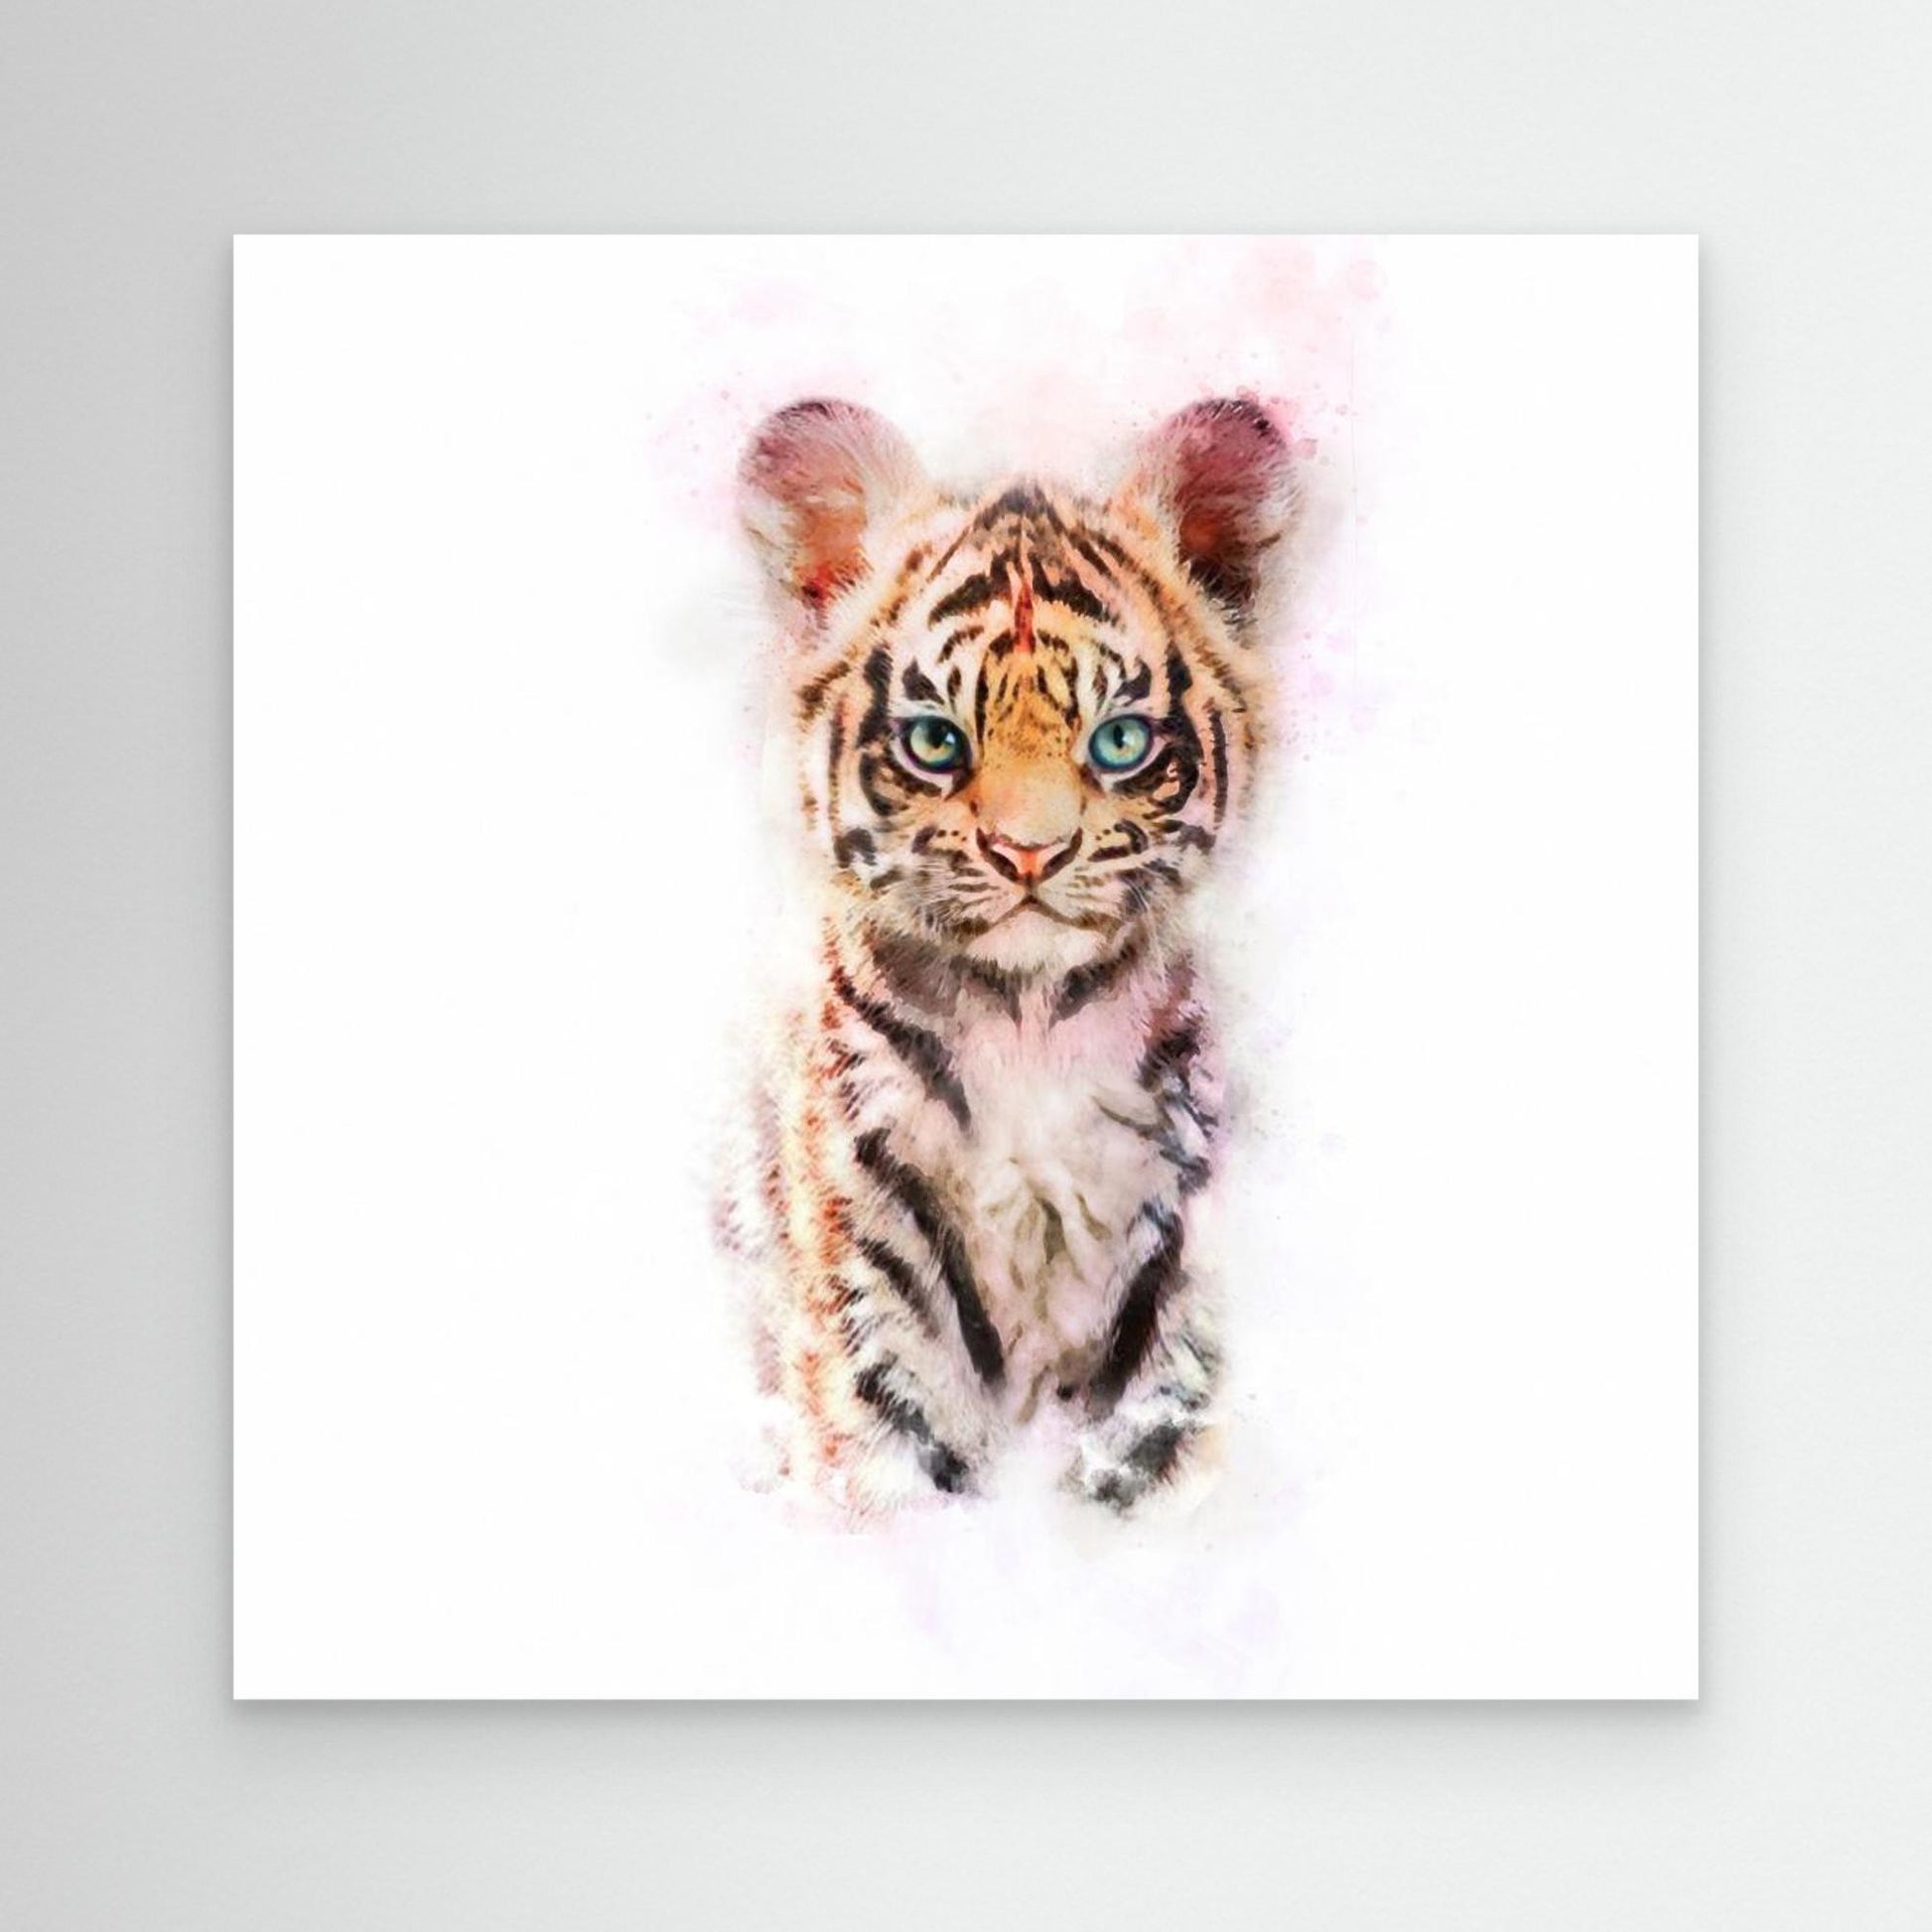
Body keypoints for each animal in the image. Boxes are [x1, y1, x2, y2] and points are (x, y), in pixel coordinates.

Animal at [720, 394, 1297, 1517]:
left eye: (1118, 742)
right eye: (936, 742)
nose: (1029, 850)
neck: (1029, 1029)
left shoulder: (1176, 1267)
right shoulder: (869, 1270)